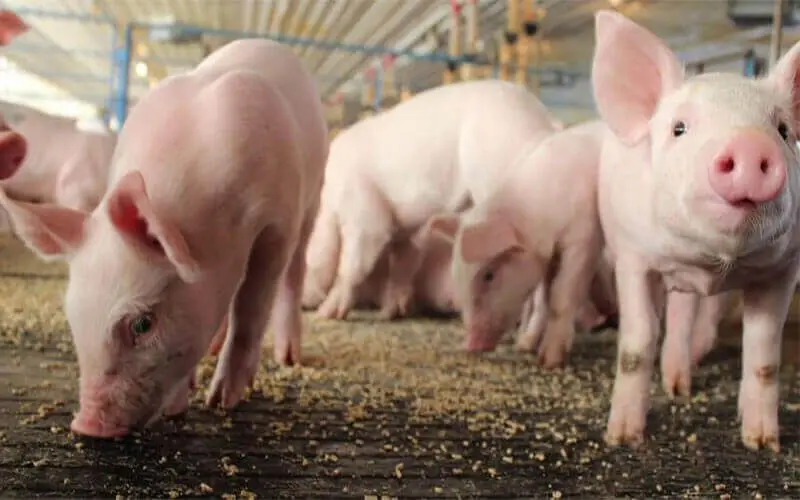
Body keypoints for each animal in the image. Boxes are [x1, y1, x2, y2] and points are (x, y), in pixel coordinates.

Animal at [0, 38, 328, 437]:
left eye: (142, 324)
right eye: (73, 317)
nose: (86, 425)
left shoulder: (277, 221)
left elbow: (252, 307)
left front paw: (222, 401)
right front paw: (182, 403)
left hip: (314, 197)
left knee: (295, 271)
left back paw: (288, 357)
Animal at [301, 79, 561, 321]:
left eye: (300, 258)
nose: (304, 304)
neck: (329, 205)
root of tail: (547, 119)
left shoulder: (364, 213)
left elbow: (353, 264)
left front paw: (326, 314)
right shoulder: (406, 234)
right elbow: (401, 267)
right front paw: (390, 313)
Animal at [429, 120, 608, 368]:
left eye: (489, 275)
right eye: (457, 276)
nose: (471, 345)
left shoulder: (584, 237)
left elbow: (562, 294)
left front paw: (549, 361)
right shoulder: (545, 256)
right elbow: (544, 297)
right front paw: (524, 346)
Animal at [592, 10, 800, 452]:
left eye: (783, 130)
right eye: (679, 128)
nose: (749, 145)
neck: (709, 262)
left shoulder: (782, 269)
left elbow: (763, 356)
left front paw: (762, 443)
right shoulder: (633, 259)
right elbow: (637, 344)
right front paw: (623, 438)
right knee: (679, 318)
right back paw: (676, 389)